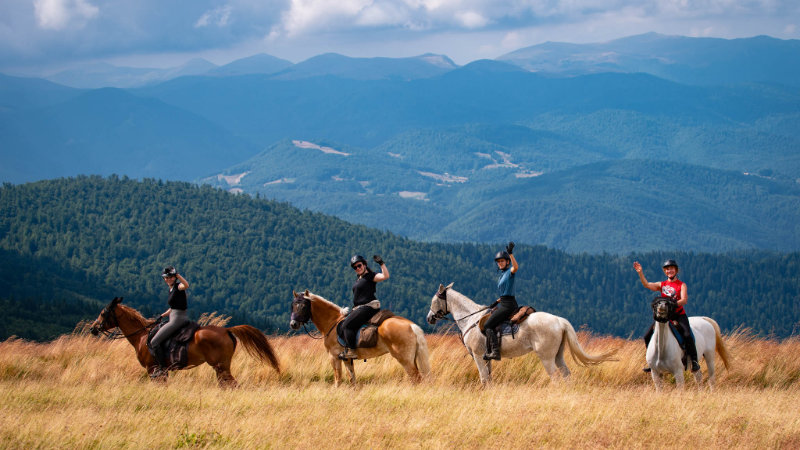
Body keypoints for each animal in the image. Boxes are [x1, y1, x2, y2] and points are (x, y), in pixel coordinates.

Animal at [88, 296, 280, 386]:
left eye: (103, 313)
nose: (93, 329)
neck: (142, 336)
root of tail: (226, 330)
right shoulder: (162, 372)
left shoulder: (153, 369)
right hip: (221, 367)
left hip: (221, 366)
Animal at [290, 292, 432, 386]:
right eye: (293, 305)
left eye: (303, 306)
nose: (293, 324)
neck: (332, 322)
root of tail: (411, 325)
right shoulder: (347, 359)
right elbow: (352, 380)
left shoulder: (334, 357)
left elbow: (338, 380)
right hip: (412, 358)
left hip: (405, 359)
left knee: (416, 378)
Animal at [428, 282, 616, 384]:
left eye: (434, 300)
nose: (429, 317)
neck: (471, 319)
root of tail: (558, 320)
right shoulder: (486, 358)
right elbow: (489, 379)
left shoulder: (478, 356)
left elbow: (483, 378)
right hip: (558, 355)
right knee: (566, 374)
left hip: (546, 357)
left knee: (555, 377)